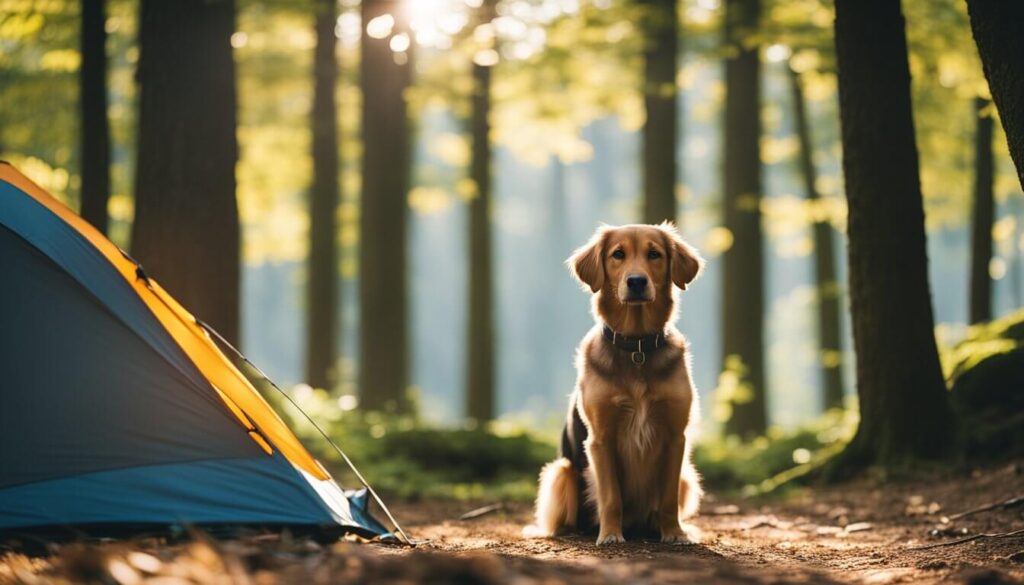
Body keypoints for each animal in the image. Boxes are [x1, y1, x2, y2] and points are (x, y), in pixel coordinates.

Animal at [520, 223, 704, 545]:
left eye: (654, 254)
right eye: (618, 254)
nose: (636, 281)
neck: (637, 347)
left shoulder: (675, 436)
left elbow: (668, 499)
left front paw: (674, 533)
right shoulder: (601, 439)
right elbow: (610, 496)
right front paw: (610, 535)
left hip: (687, 476)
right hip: (561, 471)